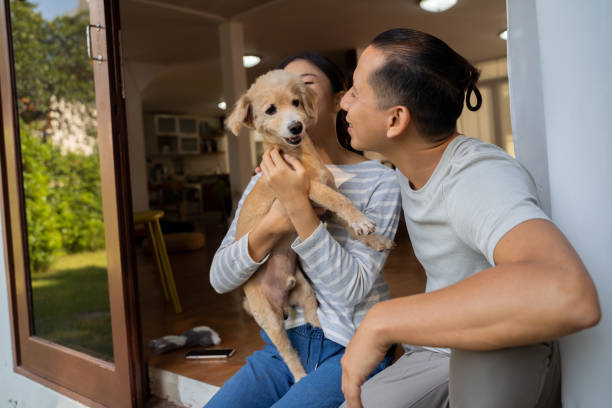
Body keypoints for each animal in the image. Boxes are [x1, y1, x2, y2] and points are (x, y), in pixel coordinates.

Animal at [225, 71, 392, 382]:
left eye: (295, 102)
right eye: (271, 110)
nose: (296, 125)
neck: (300, 153)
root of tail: (282, 303)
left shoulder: (322, 212)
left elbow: (345, 217)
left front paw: (376, 239)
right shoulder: (310, 192)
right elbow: (341, 199)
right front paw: (363, 221)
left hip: (306, 293)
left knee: (315, 322)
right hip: (269, 319)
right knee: (289, 352)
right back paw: (301, 375)